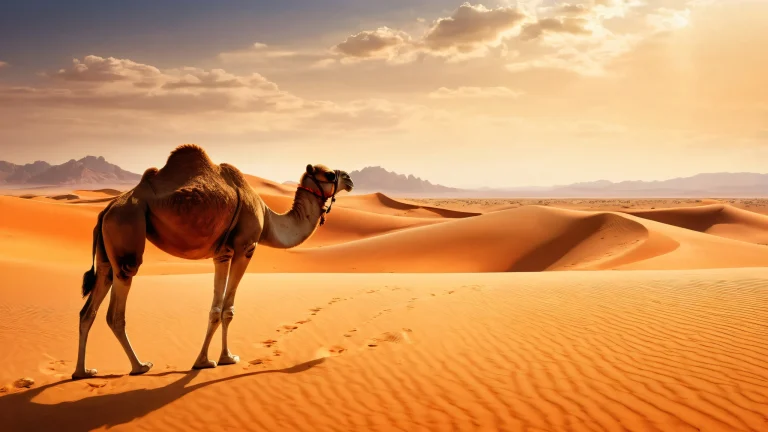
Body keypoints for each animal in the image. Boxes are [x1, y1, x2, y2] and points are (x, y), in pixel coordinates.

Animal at [72, 144, 353, 379]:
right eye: (330, 174)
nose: (349, 179)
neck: (267, 219)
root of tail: (106, 209)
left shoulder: (222, 252)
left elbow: (222, 309)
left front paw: (222, 357)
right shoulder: (244, 248)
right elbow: (224, 309)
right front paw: (208, 361)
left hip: (107, 252)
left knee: (90, 307)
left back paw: (82, 372)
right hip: (127, 231)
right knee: (116, 310)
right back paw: (140, 366)